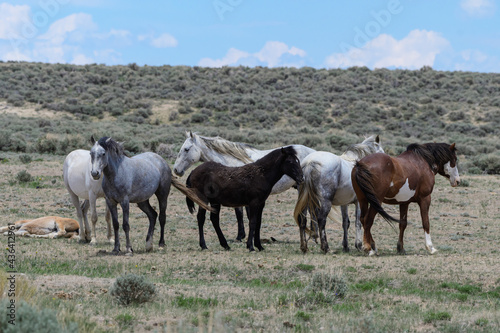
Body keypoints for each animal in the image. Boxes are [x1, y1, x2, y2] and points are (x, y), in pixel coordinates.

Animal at [174, 131, 316, 240]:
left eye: (186, 149)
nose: (176, 170)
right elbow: (241, 214)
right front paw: (241, 236)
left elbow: (243, 214)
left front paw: (244, 236)